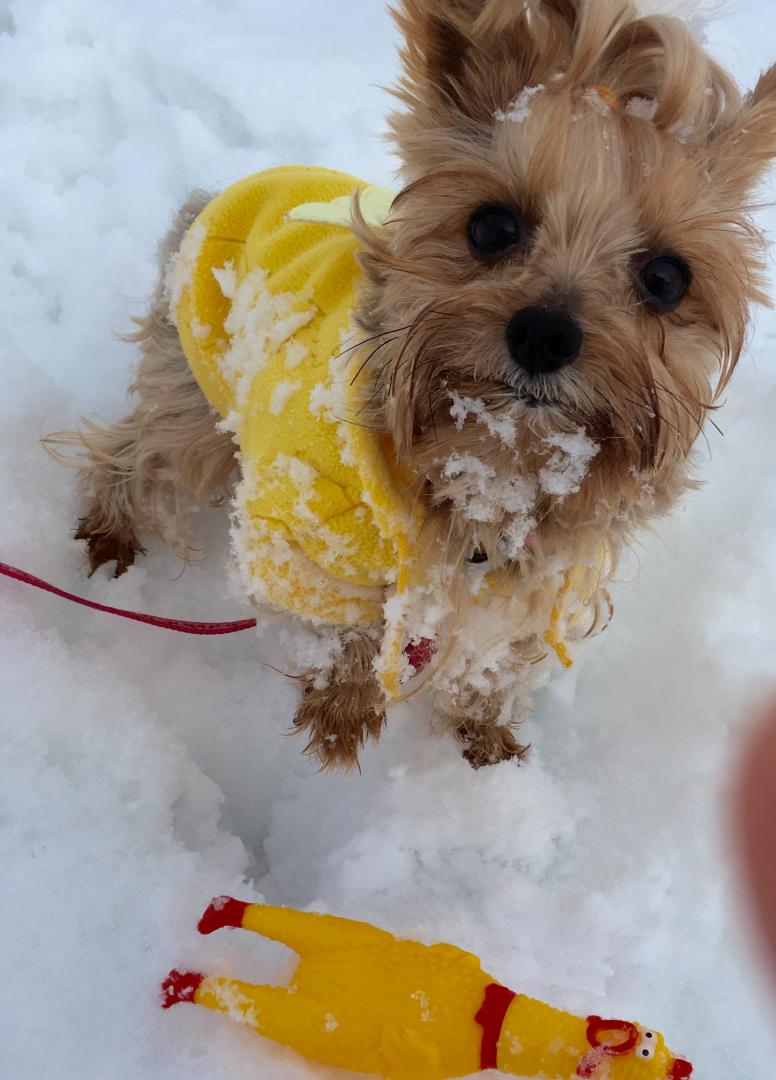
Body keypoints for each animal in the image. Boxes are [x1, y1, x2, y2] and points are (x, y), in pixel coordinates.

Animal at [50, 2, 776, 777]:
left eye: (666, 278)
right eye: (492, 226)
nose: (545, 334)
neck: (492, 469)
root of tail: (225, 190)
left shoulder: (541, 582)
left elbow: (494, 661)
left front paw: (485, 749)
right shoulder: (305, 531)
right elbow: (338, 631)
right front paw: (341, 714)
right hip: (196, 387)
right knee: (141, 451)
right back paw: (106, 538)